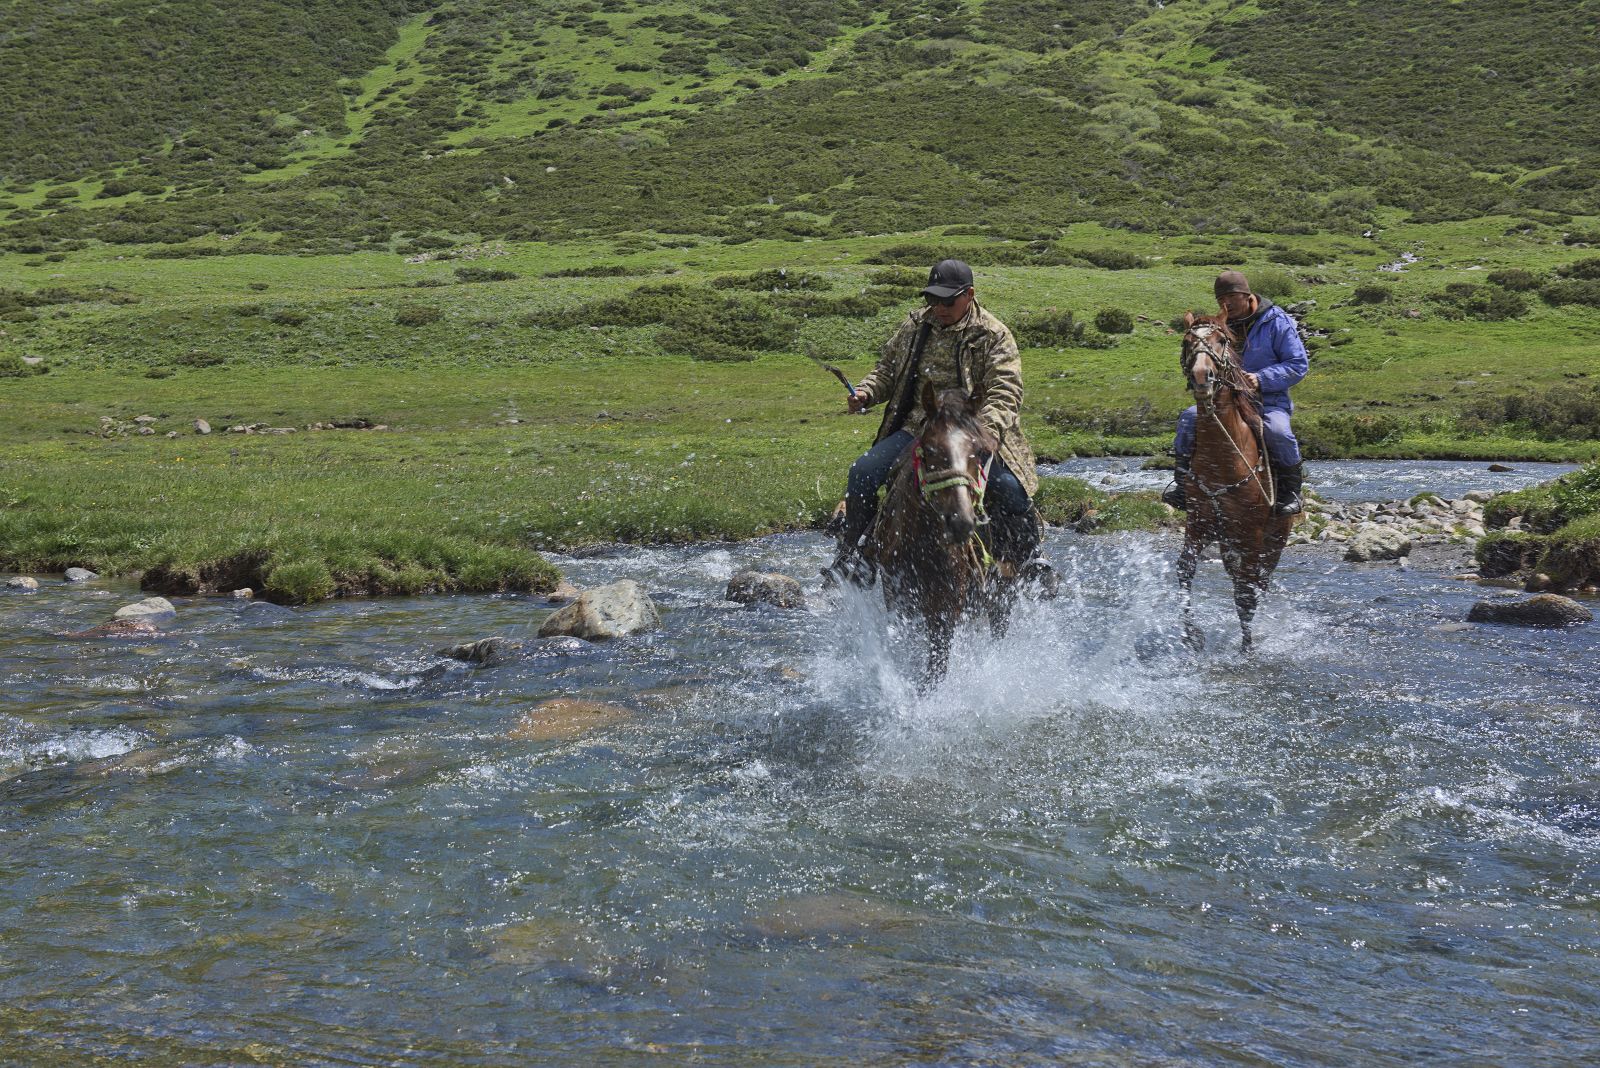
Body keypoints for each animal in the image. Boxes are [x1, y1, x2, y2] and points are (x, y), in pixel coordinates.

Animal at [864, 383, 1011, 681]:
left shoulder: (946, 608)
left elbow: (936, 667)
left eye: (980, 451)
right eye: (929, 449)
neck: (922, 546)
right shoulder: (898, 598)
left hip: (1001, 598)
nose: (960, 522)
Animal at [1177, 314, 1299, 652]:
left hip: (1271, 544)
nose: (1201, 376)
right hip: (1228, 543)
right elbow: (1184, 570)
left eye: (1221, 341)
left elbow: (1246, 594)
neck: (1222, 460)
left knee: (1255, 584)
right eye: (1187, 341)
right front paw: (1192, 635)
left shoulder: (1251, 535)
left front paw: (1247, 650)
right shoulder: (1199, 524)